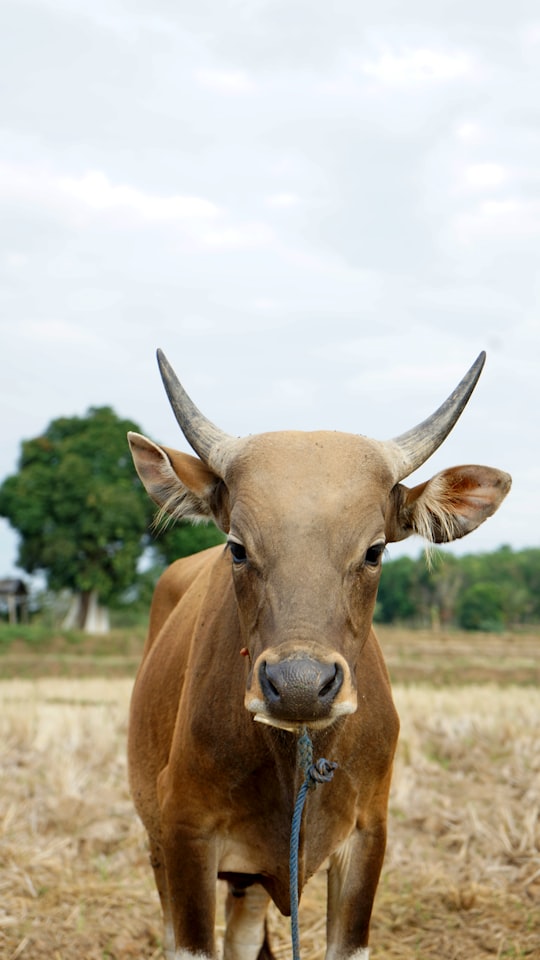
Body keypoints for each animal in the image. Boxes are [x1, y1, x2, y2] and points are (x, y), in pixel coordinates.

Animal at [126, 352, 510, 960]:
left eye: (374, 551)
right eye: (238, 547)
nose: (301, 685)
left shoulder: (367, 837)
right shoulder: (184, 834)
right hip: (162, 846)